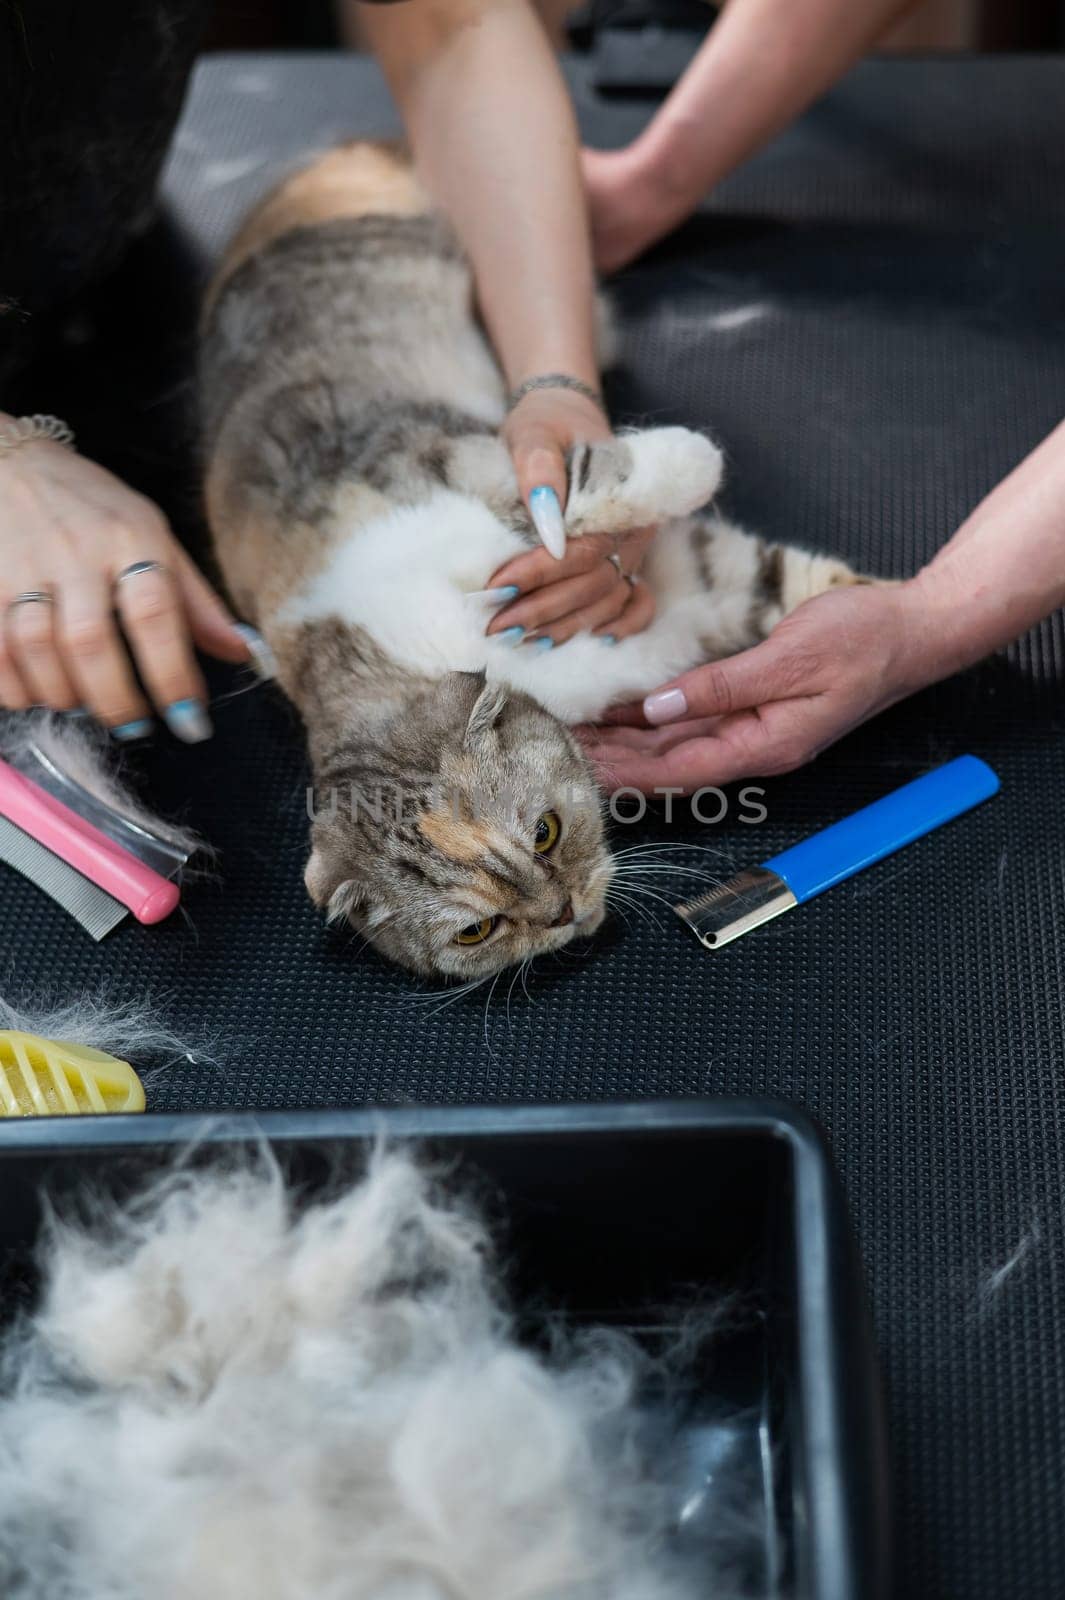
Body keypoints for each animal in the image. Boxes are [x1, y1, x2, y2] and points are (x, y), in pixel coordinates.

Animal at [199, 144, 863, 979]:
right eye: (476, 931)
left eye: (543, 832)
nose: (560, 915)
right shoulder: (679, 590)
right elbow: (767, 577)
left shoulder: (450, 468)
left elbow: (570, 491)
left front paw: (690, 458)